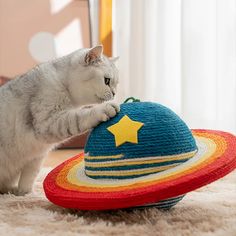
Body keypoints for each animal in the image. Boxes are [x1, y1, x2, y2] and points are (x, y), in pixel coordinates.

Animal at [0, 45, 119, 196]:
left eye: (116, 84)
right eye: (107, 81)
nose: (114, 93)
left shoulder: (36, 155)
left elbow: (29, 177)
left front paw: (24, 194)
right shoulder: (48, 123)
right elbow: (79, 117)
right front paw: (105, 109)